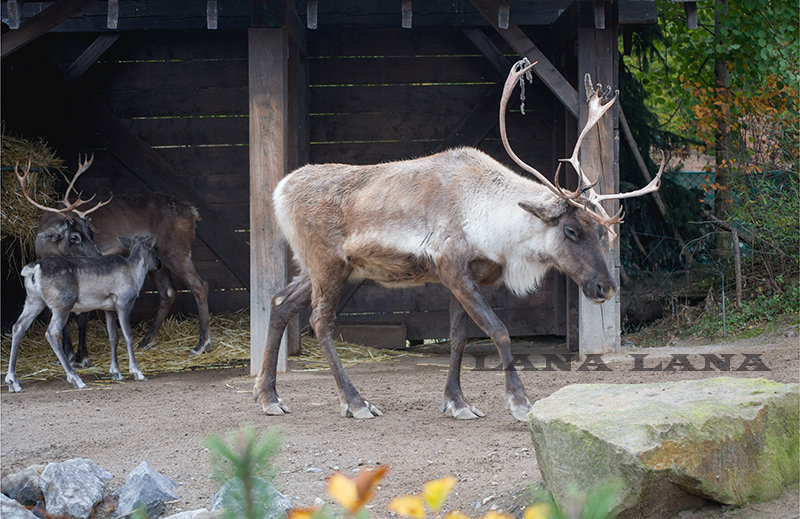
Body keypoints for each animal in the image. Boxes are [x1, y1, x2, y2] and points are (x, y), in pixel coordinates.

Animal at [5, 234, 160, 392]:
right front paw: (137, 372)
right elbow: (128, 335)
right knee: (52, 332)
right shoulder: (124, 301)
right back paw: (76, 379)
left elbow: (113, 337)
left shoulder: (109, 309)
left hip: (34, 300)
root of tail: (34, 270)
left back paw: (13, 381)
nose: (159, 264)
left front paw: (115, 372)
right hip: (62, 303)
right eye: (155, 248)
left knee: (18, 327)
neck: (134, 273)